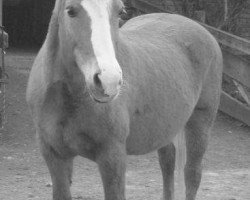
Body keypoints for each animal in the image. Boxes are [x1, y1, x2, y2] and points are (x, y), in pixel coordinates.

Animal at [26, 0, 223, 200]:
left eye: (120, 11)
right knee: (167, 163)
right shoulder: (54, 155)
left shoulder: (112, 157)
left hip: (200, 124)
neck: (70, 99)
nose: (108, 80)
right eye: (70, 11)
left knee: (192, 174)